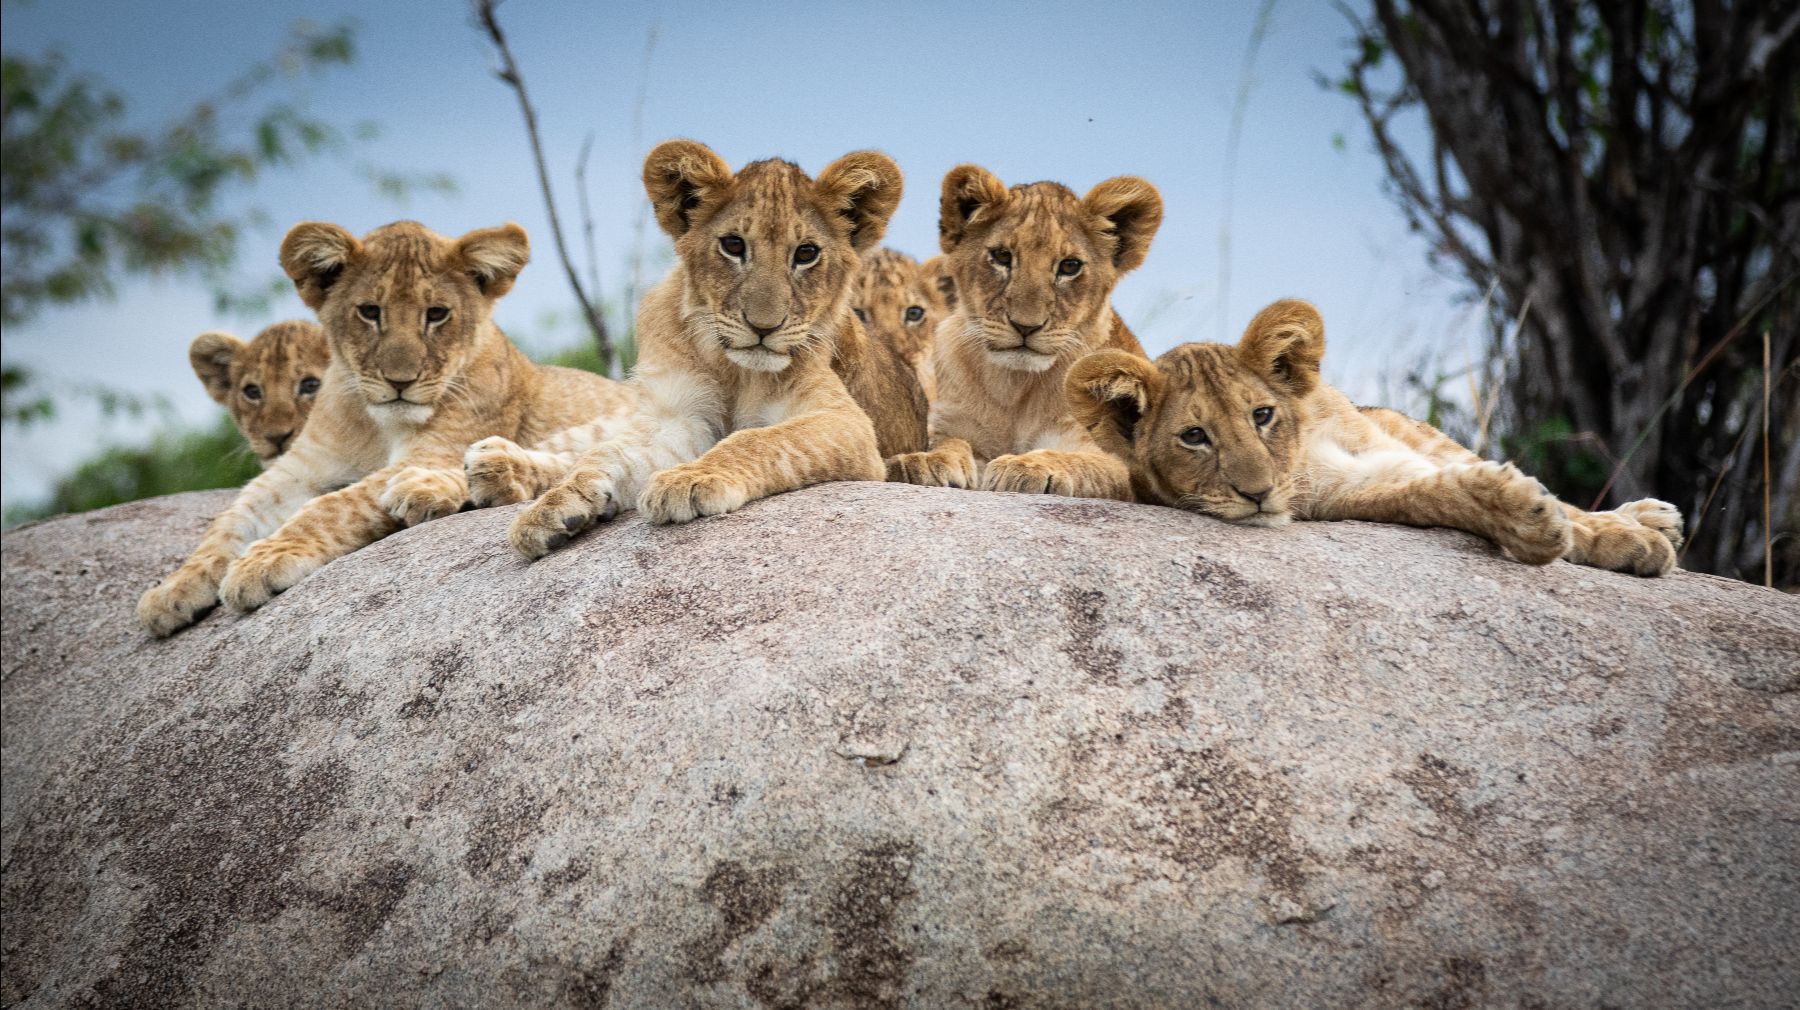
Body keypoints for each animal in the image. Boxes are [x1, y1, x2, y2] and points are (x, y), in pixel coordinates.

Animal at [466, 139, 894, 560]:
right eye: (733, 245)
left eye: (806, 253)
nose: (763, 327)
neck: (736, 370)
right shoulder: (682, 415)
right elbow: (610, 455)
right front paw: (557, 504)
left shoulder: (848, 424)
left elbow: (757, 439)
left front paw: (692, 478)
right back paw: (494, 465)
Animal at [886, 164, 1163, 500]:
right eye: (1002, 257)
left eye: (1069, 266)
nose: (1025, 326)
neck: (1014, 387)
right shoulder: (951, 423)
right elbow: (951, 443)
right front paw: (926, 461)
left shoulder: (1114, 460)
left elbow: (1079, 461)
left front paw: (1026, 466)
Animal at [1065, 298, 1685, 575]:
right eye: (1195, 436)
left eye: (1262, 415)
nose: (1258, 494)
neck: (1301, 457)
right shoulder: (1352, 491)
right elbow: (1437, 494)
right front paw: (1530, 522)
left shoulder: (1384, 452)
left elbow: (1568, 512)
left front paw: (1624, 535)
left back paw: (1652, 516)